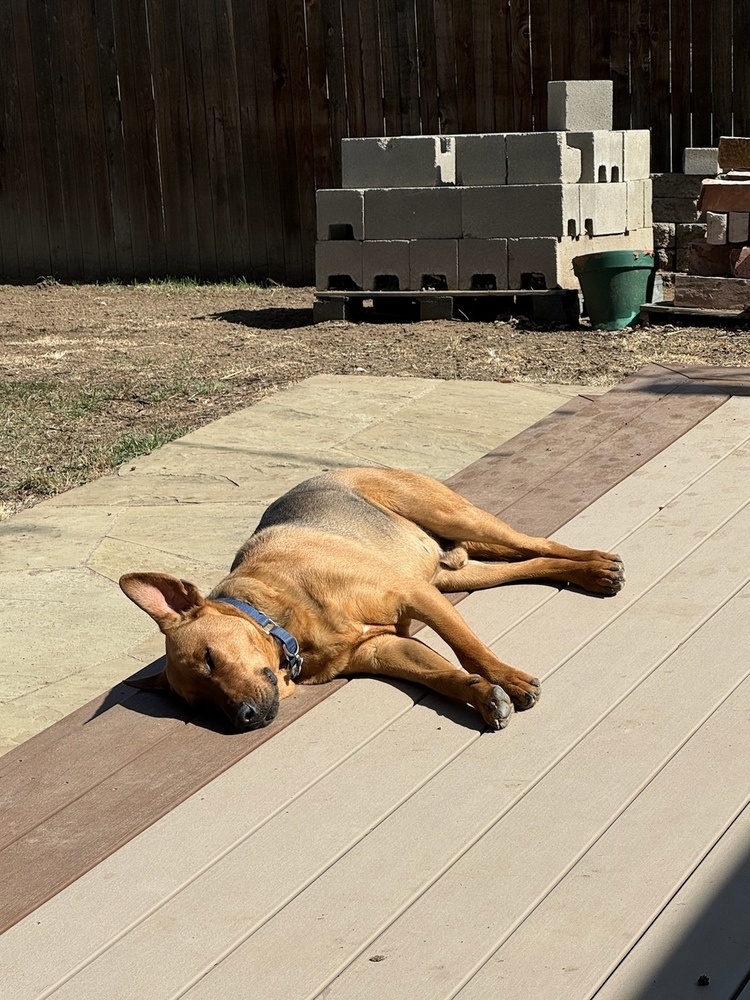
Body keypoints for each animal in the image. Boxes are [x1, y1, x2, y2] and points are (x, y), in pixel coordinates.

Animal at [120, 464, 624, 732]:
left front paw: (509, 680)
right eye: (199, 706)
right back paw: (589, 573)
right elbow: (443, 674)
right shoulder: (384, 648)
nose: (243, 718)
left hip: (455, 518)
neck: (285, 626)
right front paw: (483, 696)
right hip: (455, 578)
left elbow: (470, 650)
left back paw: (594, 564)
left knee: (538, 542)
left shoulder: (413, 596)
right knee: (527, 562)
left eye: (209, 658)